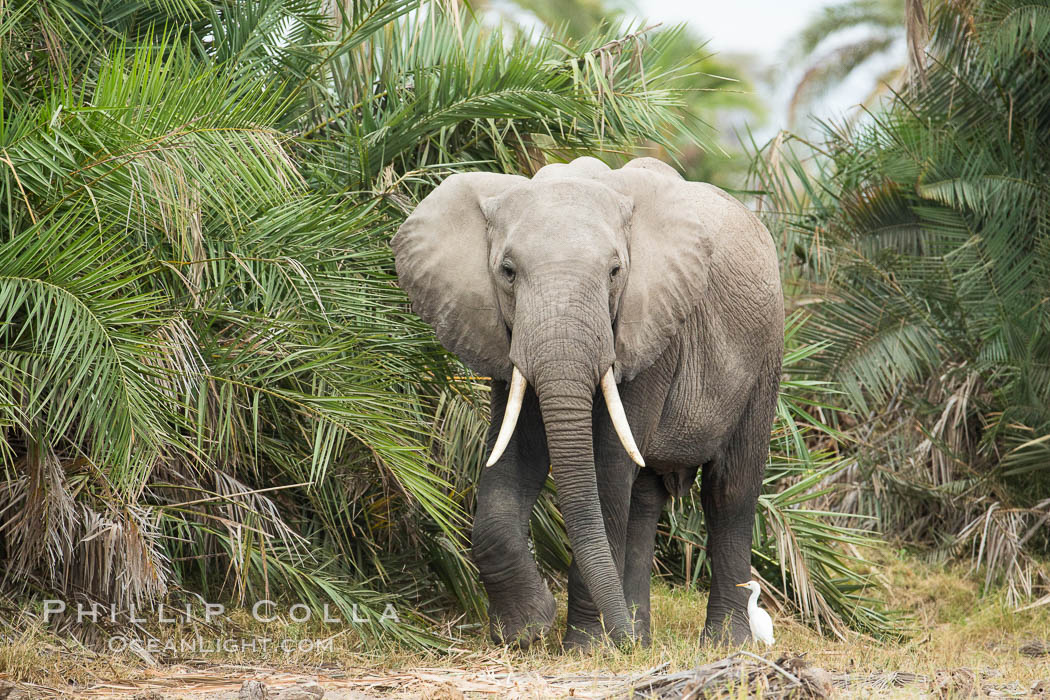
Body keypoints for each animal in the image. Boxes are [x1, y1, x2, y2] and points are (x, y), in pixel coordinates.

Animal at [390, 156, 785, 650]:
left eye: (615, 272)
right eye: (507, 271)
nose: (618, 641)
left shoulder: (651, 325)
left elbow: (607, 467)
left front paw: (584, 646)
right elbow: (519, 452)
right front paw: (526, 630)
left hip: (765, 355)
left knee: (729, 491)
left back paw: (722, 643)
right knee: (644, 499)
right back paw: (639, 635)